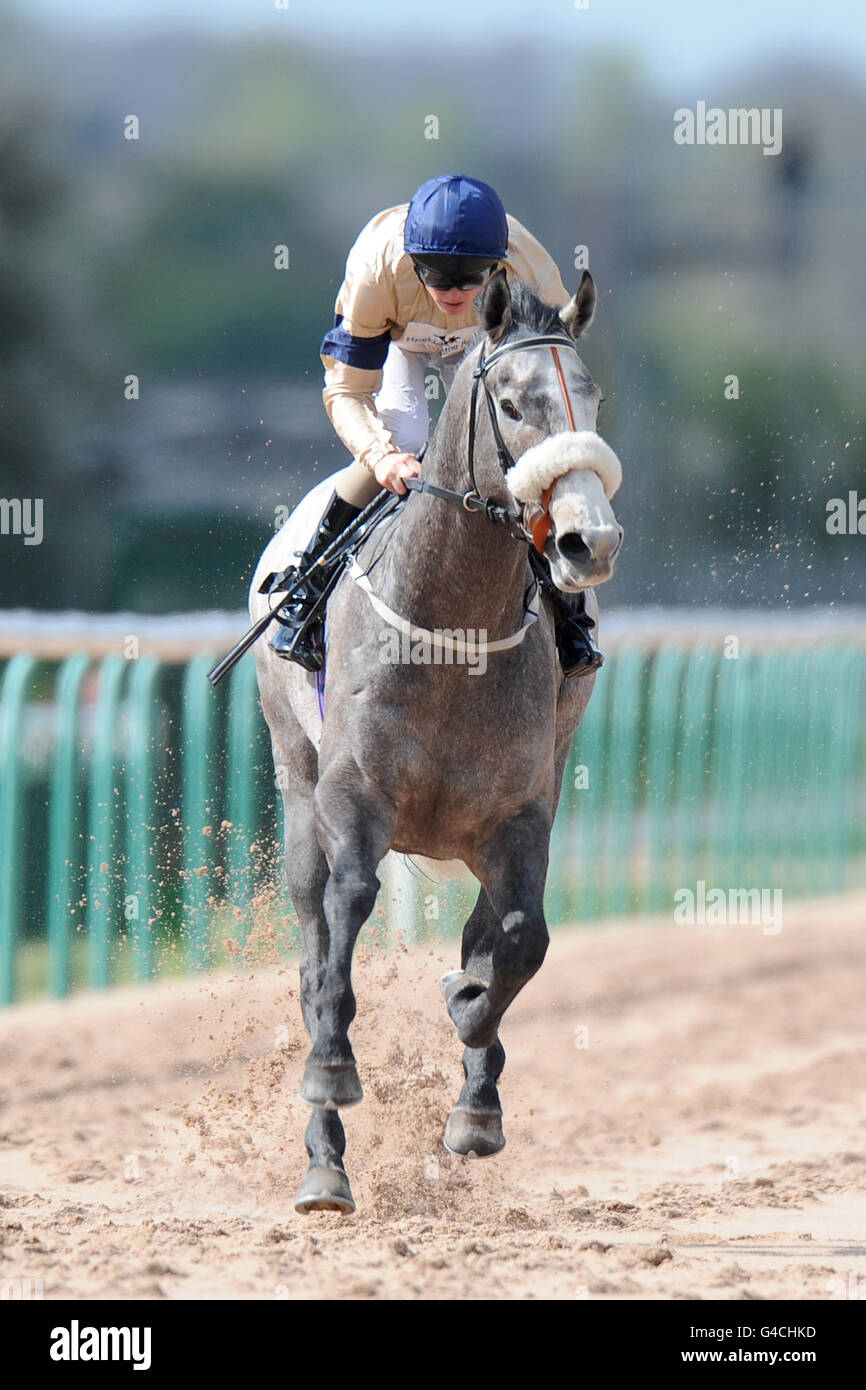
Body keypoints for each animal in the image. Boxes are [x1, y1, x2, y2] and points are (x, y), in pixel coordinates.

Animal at [250, 271, 622, 1217]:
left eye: (594, 399)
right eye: (510, 402)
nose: (588, 541)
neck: (452, 626)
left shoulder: (521, 813)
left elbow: (520, 940)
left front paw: (474, 1084)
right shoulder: (352, 799)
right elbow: (342, 926)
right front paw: (334, 1073)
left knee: (492, 931)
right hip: (296, 786)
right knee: (313, 947)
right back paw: (325, 1166)